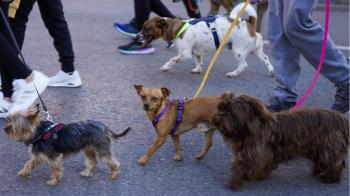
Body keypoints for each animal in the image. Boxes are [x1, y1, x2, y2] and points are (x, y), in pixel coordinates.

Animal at [139, 2, 274, 77]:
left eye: (146, 28)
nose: (137, 37)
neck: (177, 28)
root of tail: (249, 22)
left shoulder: (185, 53)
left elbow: (173, 59)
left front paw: (165, 67)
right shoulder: (195, 52)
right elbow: (198, 61)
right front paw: (197, 69)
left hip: (239, 51)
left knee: (244, 65)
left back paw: (233, 73)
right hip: (255, 50)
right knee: (266, 58)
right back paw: (271, 71)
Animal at [212, 92, 348, 191]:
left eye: (231, 112)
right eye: (220, 107)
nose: (216, 118)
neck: (252, 127)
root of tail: (342, 119)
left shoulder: (253, 152)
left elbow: (241, 166)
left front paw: (234, 182)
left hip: (328, 146)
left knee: (335, 162)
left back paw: (329, 177)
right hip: (318, 148)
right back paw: (318, 171)